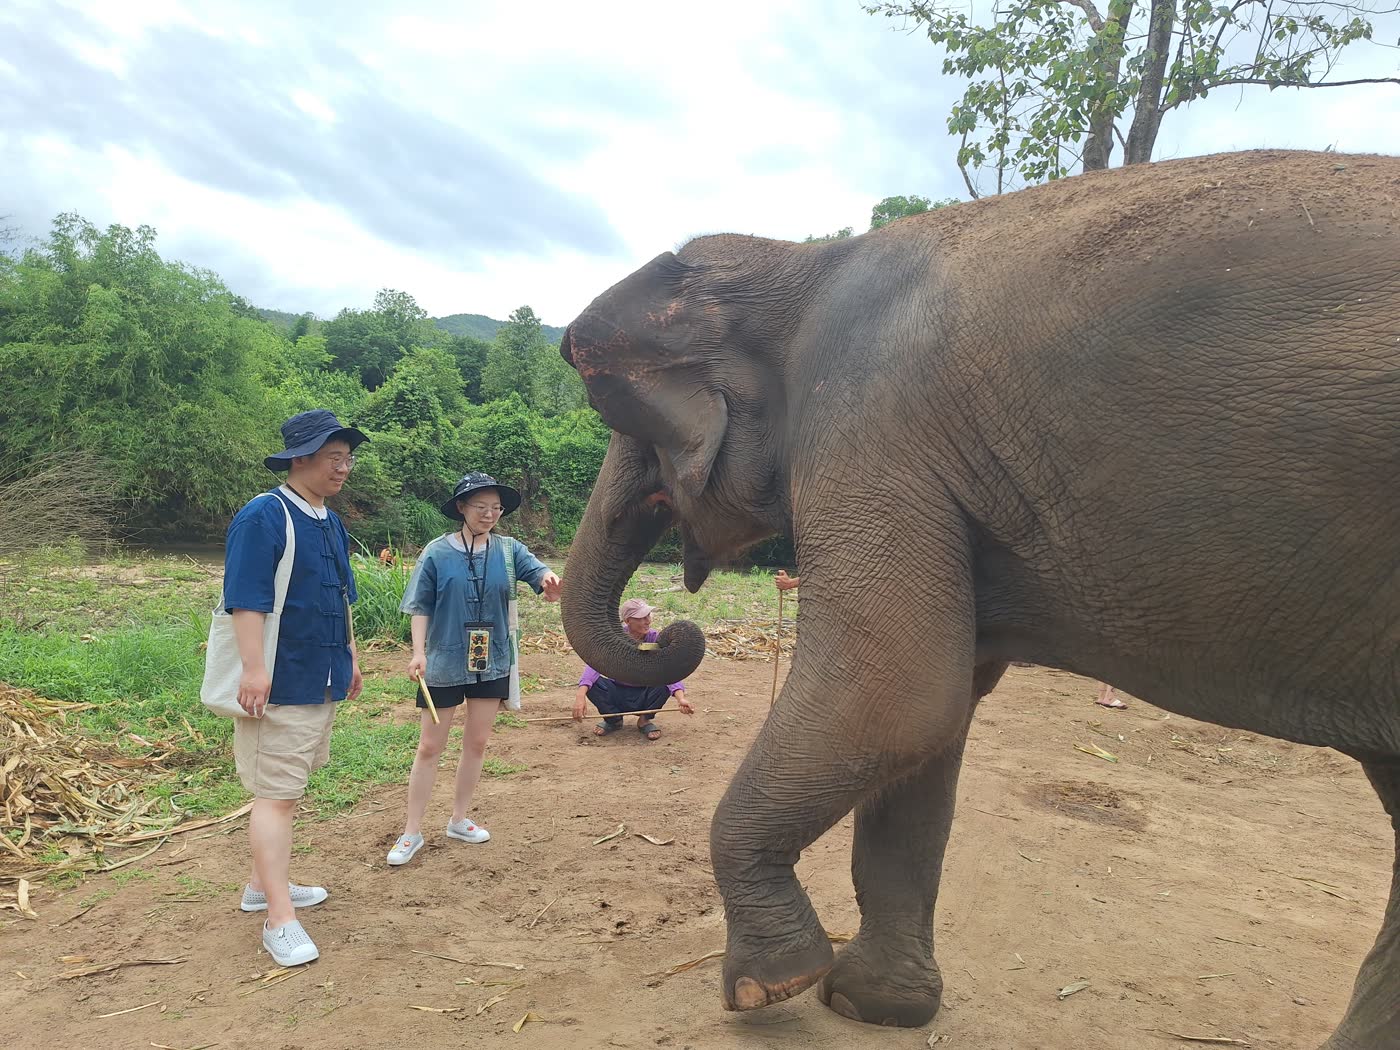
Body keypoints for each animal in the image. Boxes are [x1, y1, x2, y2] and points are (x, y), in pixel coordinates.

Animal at [557, 149, 1400, 1048]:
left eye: (624, 422)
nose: (672, 633)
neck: (805, 260)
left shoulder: (873, 429)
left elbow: (893, 695)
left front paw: (768, 989)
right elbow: (929, 729)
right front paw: (871, 1007)